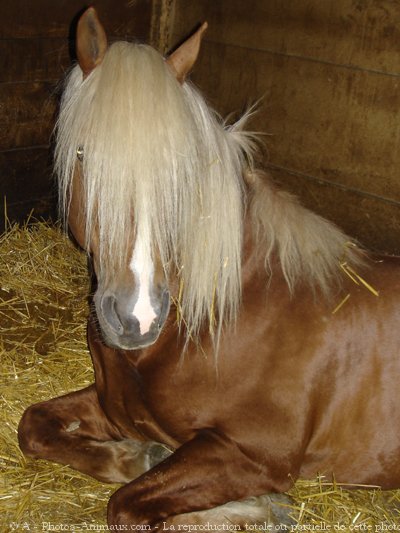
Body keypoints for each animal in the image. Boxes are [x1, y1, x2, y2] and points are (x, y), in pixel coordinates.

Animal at [17, 6, 400, 528]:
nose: (138, 318)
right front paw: (136, 457)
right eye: (83, 154)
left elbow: (128, 507)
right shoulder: (113, 406)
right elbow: (32, 425)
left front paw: (257, 509)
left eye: (184, 171)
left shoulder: (256, 455)